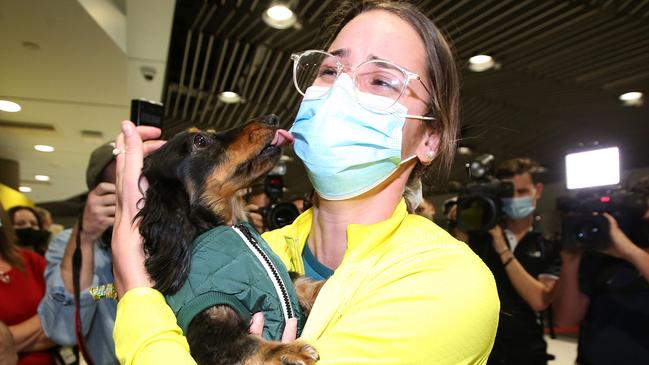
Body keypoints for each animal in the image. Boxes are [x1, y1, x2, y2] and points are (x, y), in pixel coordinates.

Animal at [140, 114, 326, 364]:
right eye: (200, 141)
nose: (272, 118)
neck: (231, 226)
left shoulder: (287, 277)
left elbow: (303, 282)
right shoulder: (209, 328)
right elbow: (249, 346)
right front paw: (290, 351)